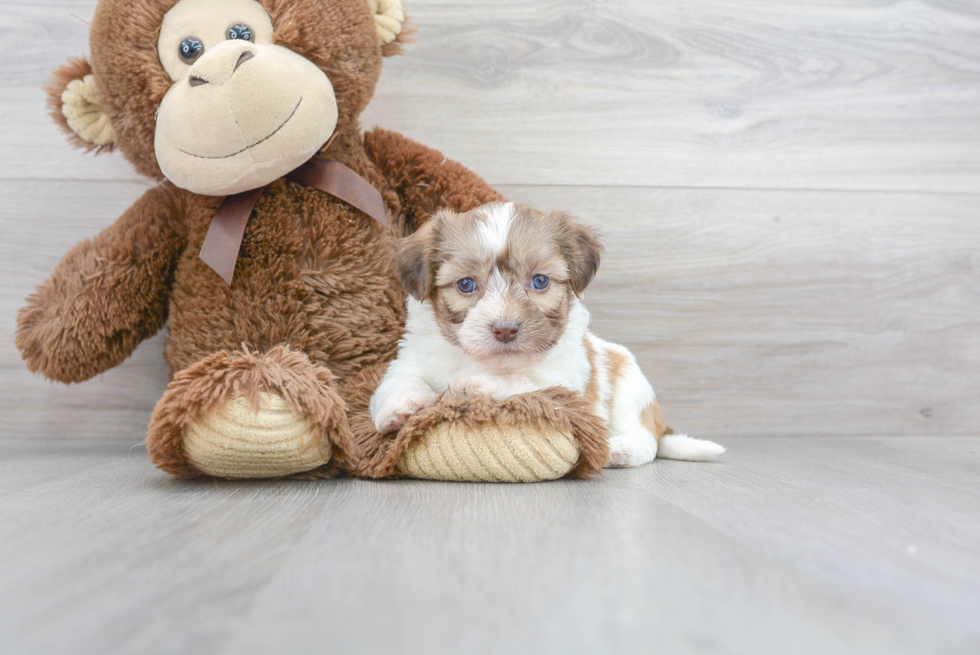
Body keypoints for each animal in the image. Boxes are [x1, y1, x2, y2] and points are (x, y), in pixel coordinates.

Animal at [372, 204, 724, 466]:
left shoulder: (564, 383)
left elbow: (523, 383)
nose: (506, 328)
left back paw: (619, 449)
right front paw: (402, 407)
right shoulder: (410, 361)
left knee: (645, 441)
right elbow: (399, 382)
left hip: (630, 389)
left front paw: (480, 386)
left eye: (540, 281)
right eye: (466, 284)